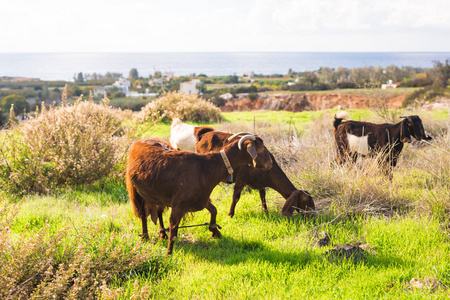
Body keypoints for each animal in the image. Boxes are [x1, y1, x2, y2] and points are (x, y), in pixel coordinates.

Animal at [126, 137, 274, 254]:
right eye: (261, 149)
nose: (270, 164)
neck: (206, 168)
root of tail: (137, 142)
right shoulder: (179, 203)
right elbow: (173, 226)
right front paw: (169, 252)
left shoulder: (201, 198)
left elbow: (214, 210)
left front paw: (214, 231)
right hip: (135, 191)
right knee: (143, 215)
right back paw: (145, 236)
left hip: (156, 195)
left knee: (159, 212)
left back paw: (162, 234)